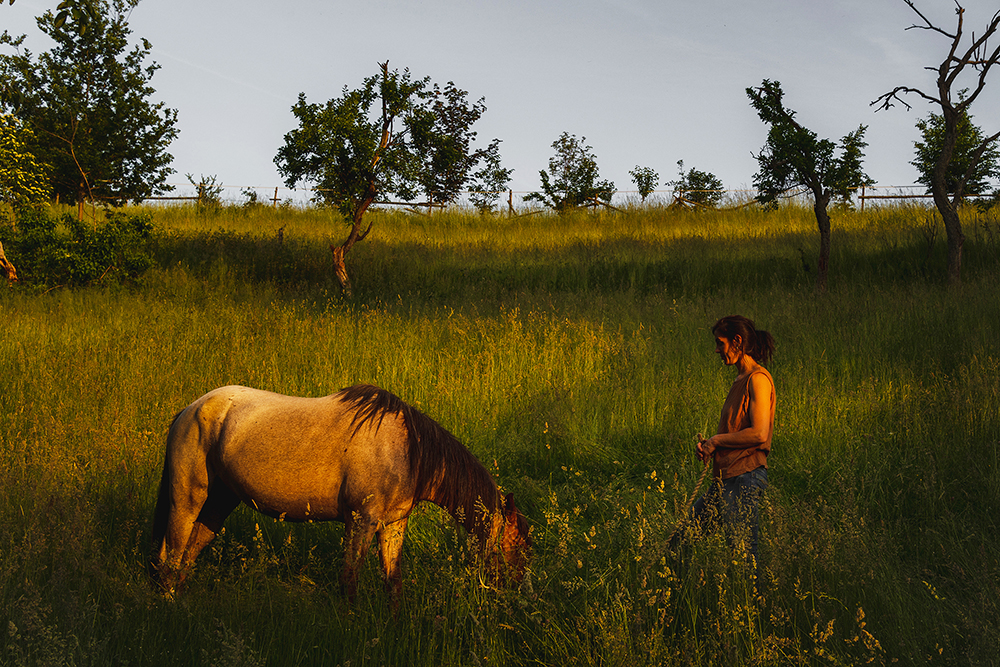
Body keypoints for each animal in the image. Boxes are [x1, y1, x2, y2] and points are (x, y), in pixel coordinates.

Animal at [147, 384, 532, 596]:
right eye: (514, 548)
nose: (518, 594)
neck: (408, 450)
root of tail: (190, 409)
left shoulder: (393, 526)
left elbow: (393, 581)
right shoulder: (360, 521)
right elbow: (350, 579)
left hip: (219, 503)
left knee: (188, 554)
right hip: (187, 499)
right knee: (170, 556)